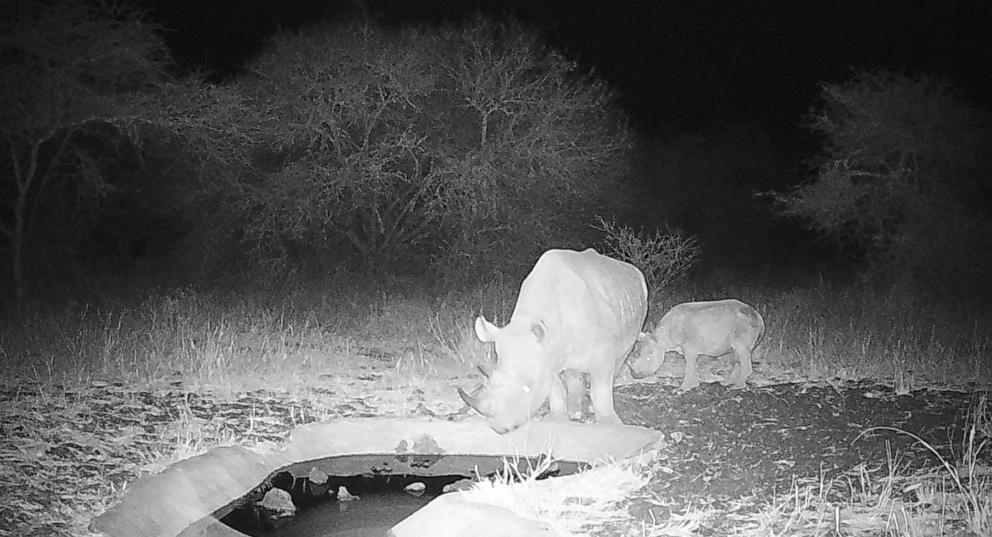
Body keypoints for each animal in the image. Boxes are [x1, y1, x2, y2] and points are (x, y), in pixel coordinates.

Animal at [458, 248, 648, 434]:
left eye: (529, 387)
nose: (499, 428)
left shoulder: (602, 351)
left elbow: (599, 388)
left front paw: (609, 423)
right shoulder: (547, 355)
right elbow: (555, 389)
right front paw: (557, 419)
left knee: (621, 357)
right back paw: (574, 411)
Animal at [628, 299, 764, 391]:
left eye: (648, 358)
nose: (634, 375)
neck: (661, 340)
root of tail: (758, 316)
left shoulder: (690, 347)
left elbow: (689, 366)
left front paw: (683, 387)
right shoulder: (688, 348)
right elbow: (692, 365)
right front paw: (694, 385)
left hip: (744, 325)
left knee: (742, 351)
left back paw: (737, 386)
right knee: (736, 353)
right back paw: (727, 383)